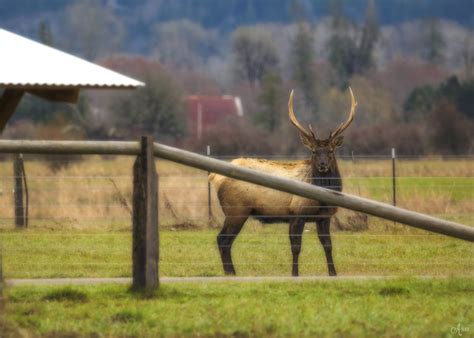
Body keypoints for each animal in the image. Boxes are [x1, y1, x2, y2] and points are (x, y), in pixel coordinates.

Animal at [209, 88, 358, 278]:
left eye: (331, 150)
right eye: (313, 151)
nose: (323, 164)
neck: (321, 200)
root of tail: (214, 177)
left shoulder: (324, 217)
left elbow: (327, 245)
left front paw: (333, 273)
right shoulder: (297, 213)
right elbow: (296, 247)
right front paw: (294, 273)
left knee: (224, 240)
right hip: (236, 210)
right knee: (223, 239)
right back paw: (231, 273)